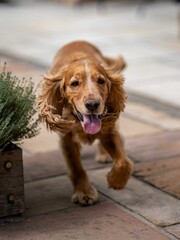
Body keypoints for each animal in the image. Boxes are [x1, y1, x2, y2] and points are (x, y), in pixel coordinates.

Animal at [38, 41, 133, 206]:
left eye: (101, 81)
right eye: (75, 83)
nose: (93, 104)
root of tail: (78, 40)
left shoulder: (109, 131)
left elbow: (123, 161)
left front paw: (116, 181)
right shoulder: (67, 139)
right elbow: (76, 167)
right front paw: (84, 193)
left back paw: (103, 154)